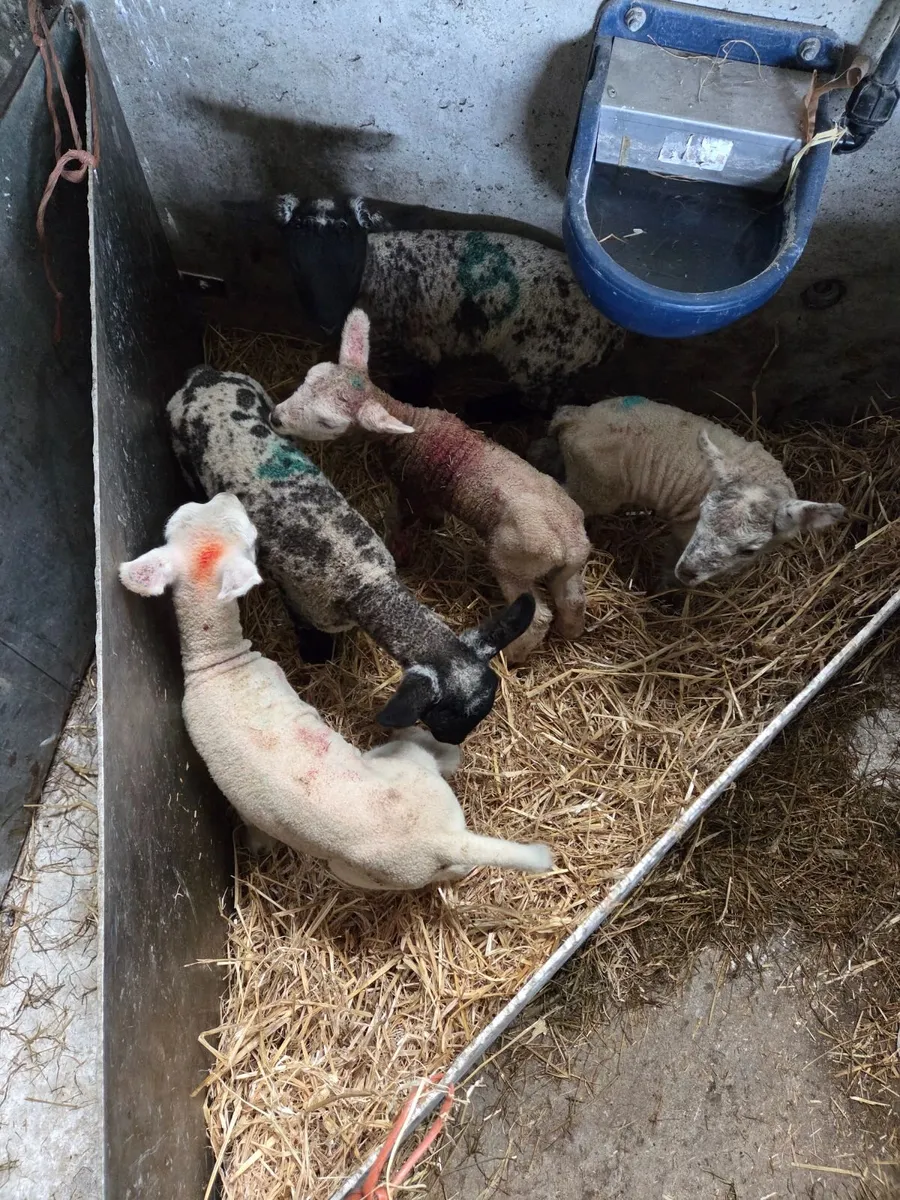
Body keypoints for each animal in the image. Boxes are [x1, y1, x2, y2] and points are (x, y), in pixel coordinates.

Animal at [167, 368, 536, 744]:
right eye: (447, 714)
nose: (454, 742)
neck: (365, 580)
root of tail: (203, 375)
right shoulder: (302, 600)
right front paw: (316, 656)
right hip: (182, 451)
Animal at [270, 309, 592, 663]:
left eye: (327, 422)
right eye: (309, 376)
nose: (275, 417)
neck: (410, 423)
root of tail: (569, 544)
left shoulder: (411, 486)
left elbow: (401, 517)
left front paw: (402, 547)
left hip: (512, 561)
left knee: (538, 618)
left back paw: (514, 656)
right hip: (566, 568)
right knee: (572, 599)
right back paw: (572, 631)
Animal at [275, 194, 624, 419]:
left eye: (349, 260)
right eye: (296, 263)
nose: (327, 321)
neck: (378, 268)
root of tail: (611, 330)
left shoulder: (417, 347)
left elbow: (417, 387)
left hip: (543, 360)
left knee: (538, 404)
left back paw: (481, 410)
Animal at [531, 397, 846, 587]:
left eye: (748, 550)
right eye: (703, 514)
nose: (687, 572)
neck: (761, 479)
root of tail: (579, 416)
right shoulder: (685, 530)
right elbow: (673, 555)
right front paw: (666, 587)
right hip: (595, 487)